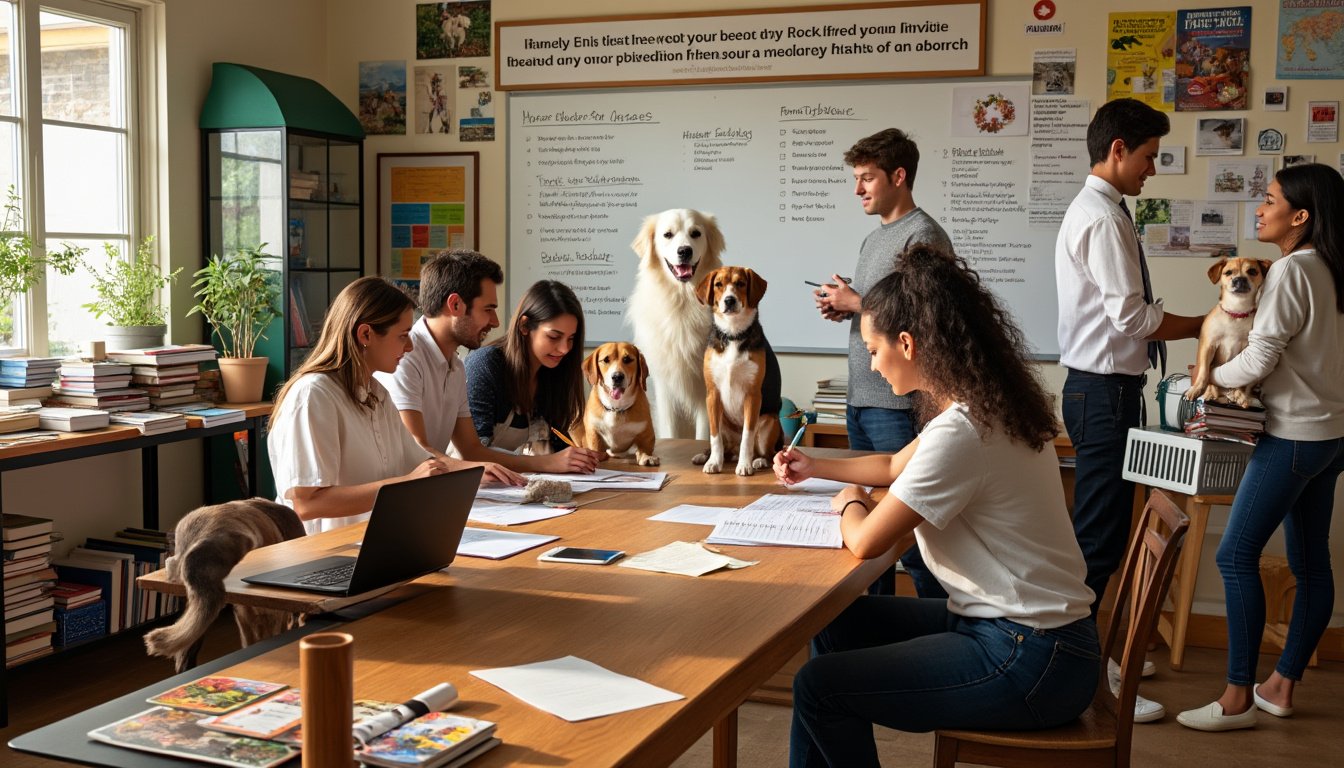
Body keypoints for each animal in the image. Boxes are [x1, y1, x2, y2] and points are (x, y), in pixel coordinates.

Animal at [628, 208, 725, 438]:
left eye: (696, 233)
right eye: (668, 235)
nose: (684, 251)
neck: (683, 301)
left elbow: (704, 433)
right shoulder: (665, 385)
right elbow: (670, 433)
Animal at [698, 269, 784, 476]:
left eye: (741, 284)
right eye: (718, 284)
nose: (729, 300)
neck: (733, 334)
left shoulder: (752, 395)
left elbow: (747, 436)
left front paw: (744, 465)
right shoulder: (712, 395)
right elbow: (715, 438)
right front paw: (714, 462)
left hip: (769, 422)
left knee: (768, 453)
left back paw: (758, 460)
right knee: (726, 447)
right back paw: (706, 456)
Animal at [1188, 256, 1268, 408]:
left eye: (1252, 271)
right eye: (1228, 272)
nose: (1239, 279)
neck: (1236, 312)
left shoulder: (1246, 350)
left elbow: (1243, 380)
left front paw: (1241, 394)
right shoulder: (1208, 346)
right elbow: (1204, 372)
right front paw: (1196, 390)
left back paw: (1240, 395)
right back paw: (1211, 393)